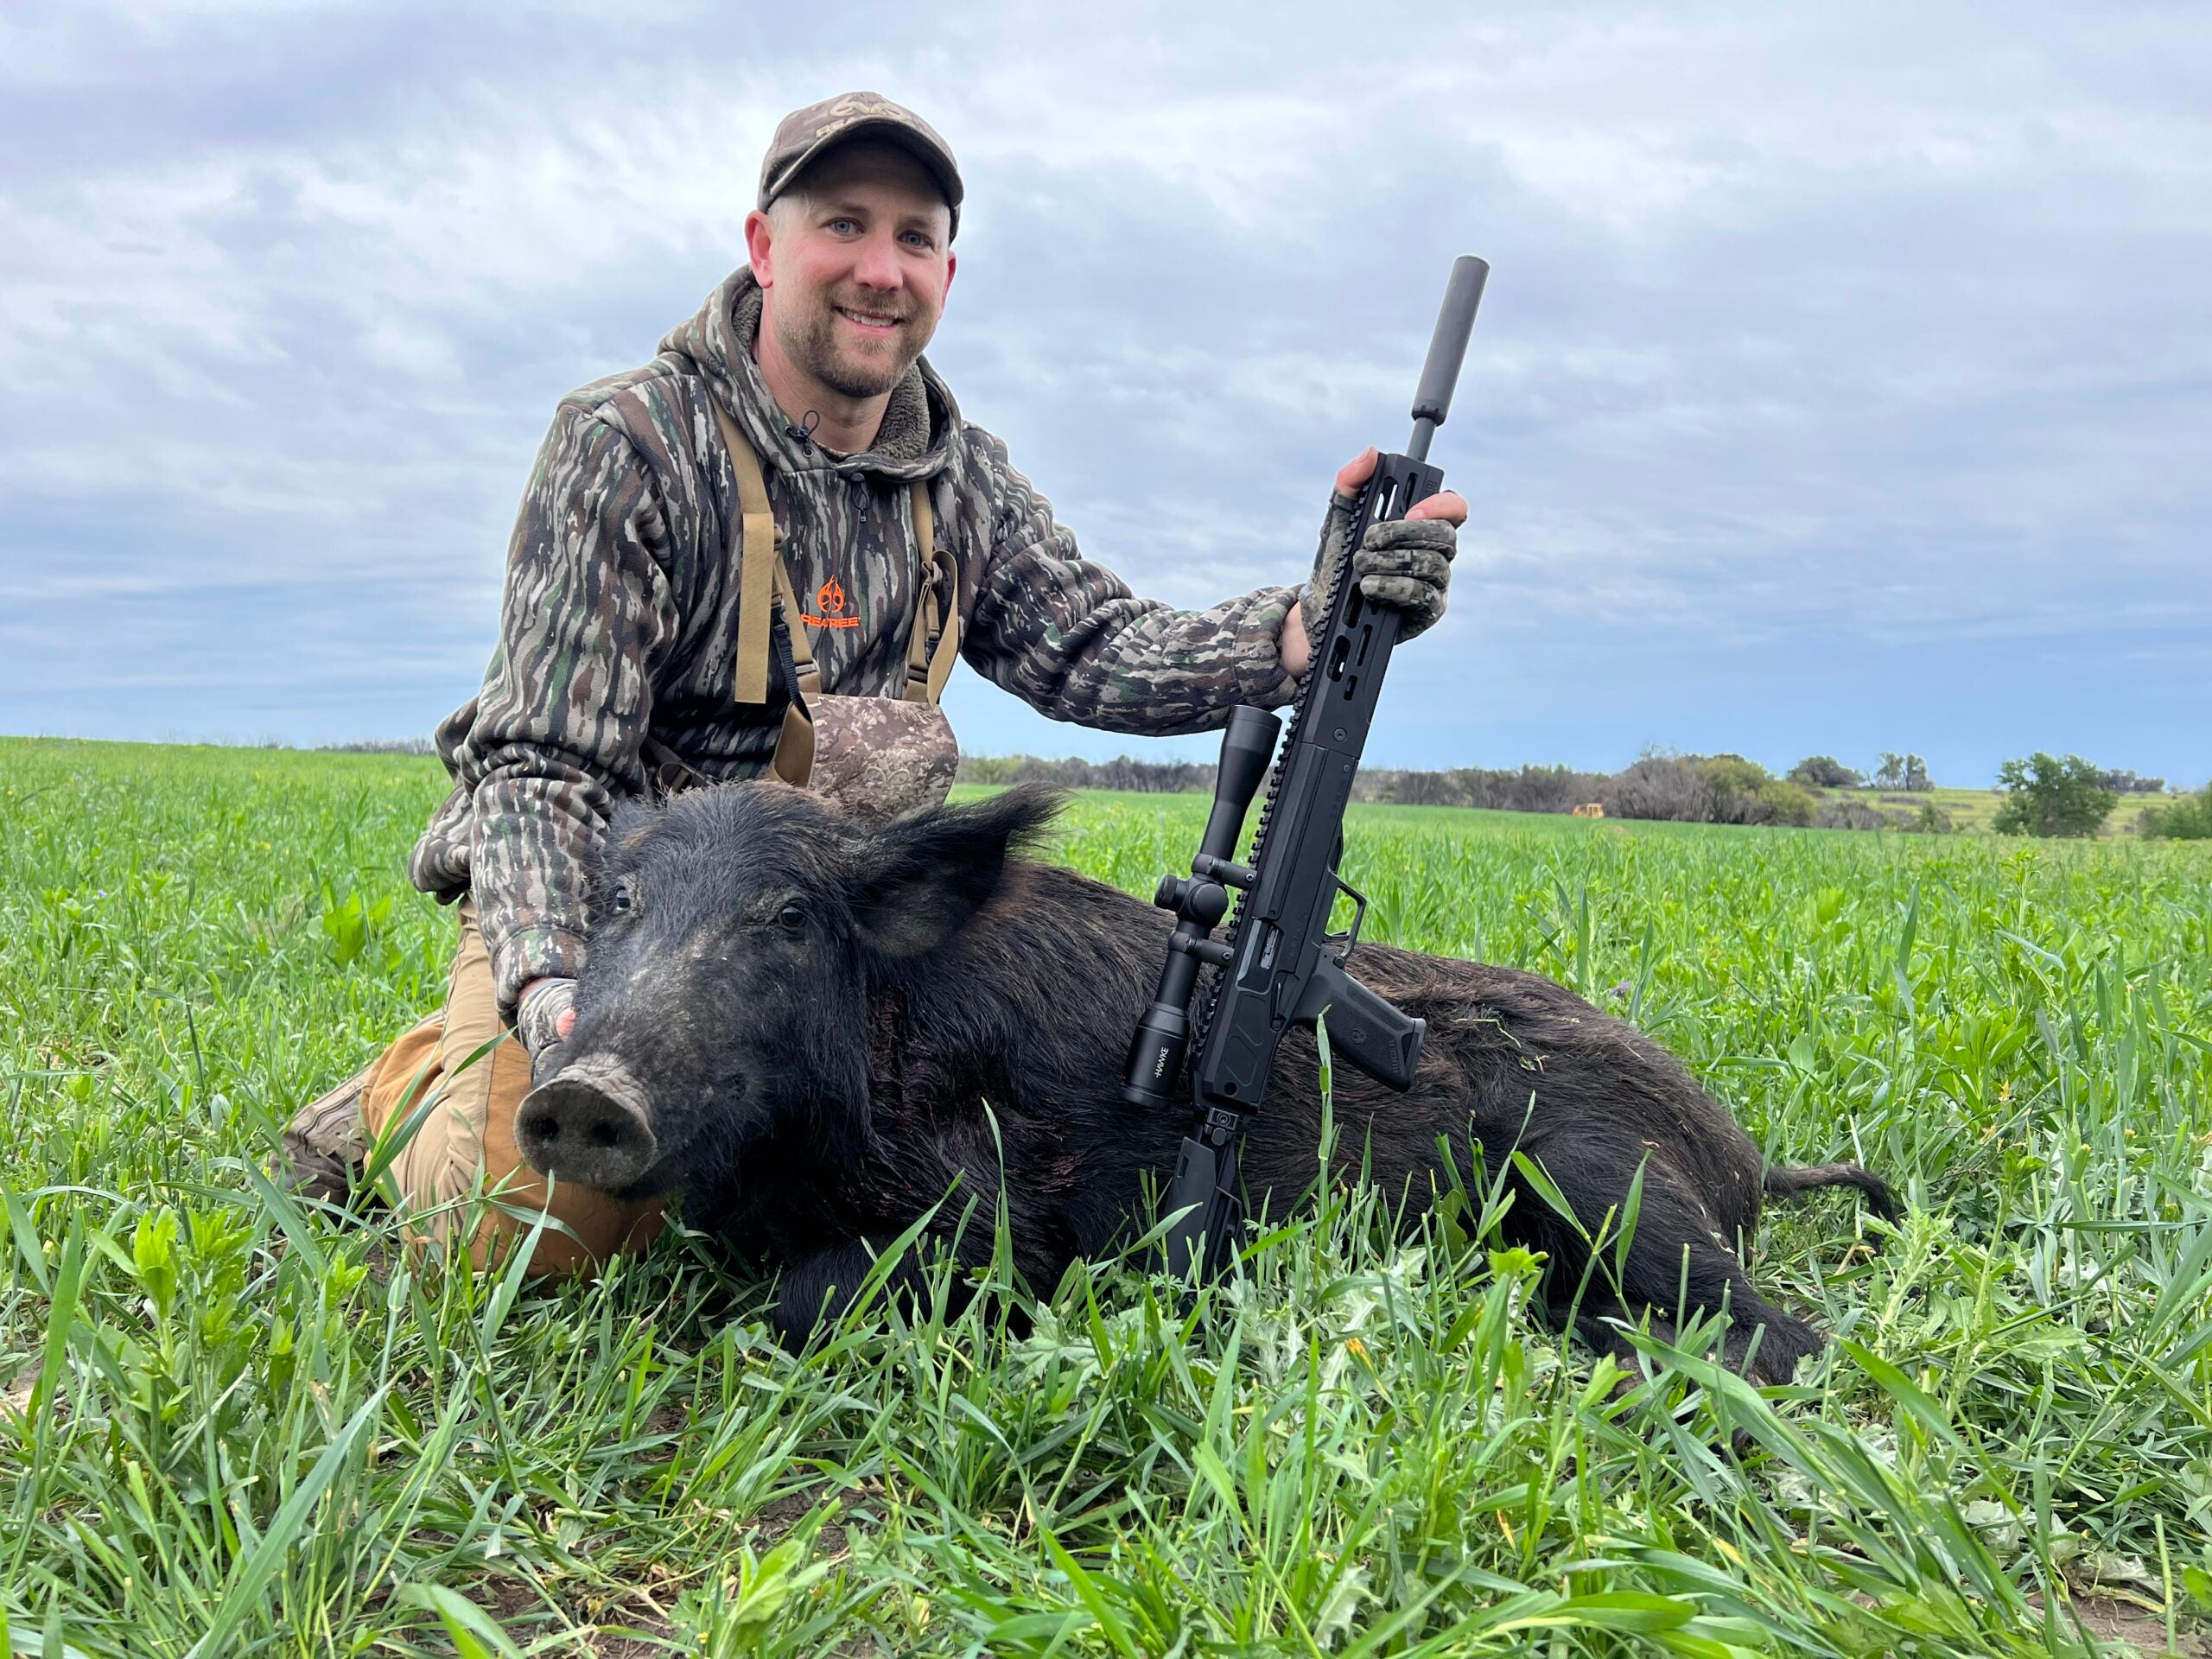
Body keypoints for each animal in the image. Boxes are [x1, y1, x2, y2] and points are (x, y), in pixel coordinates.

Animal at [517, 782, 1895, 1379]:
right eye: (618, 902)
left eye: (791, 918)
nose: (581, 1093)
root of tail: (1743, 1154)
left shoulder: (995, 1220)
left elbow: (810, 1301)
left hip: (1607, 1180)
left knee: (1789, 1340)